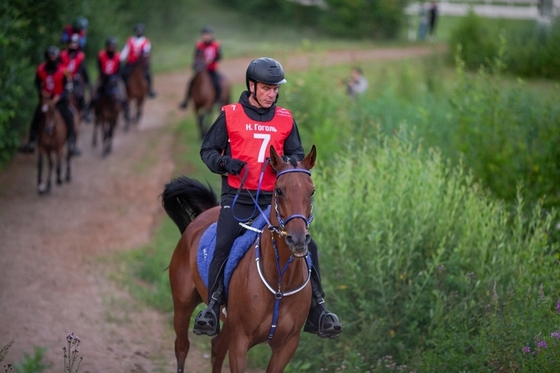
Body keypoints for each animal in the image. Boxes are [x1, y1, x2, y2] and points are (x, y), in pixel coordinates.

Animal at [162, 145, 318, 372]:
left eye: (311, 191)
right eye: (279, 190)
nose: (297, 239)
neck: (280, 283)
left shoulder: (287, 346)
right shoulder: (240, 341)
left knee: (217, 349)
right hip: (183, 303)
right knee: (182, 346)